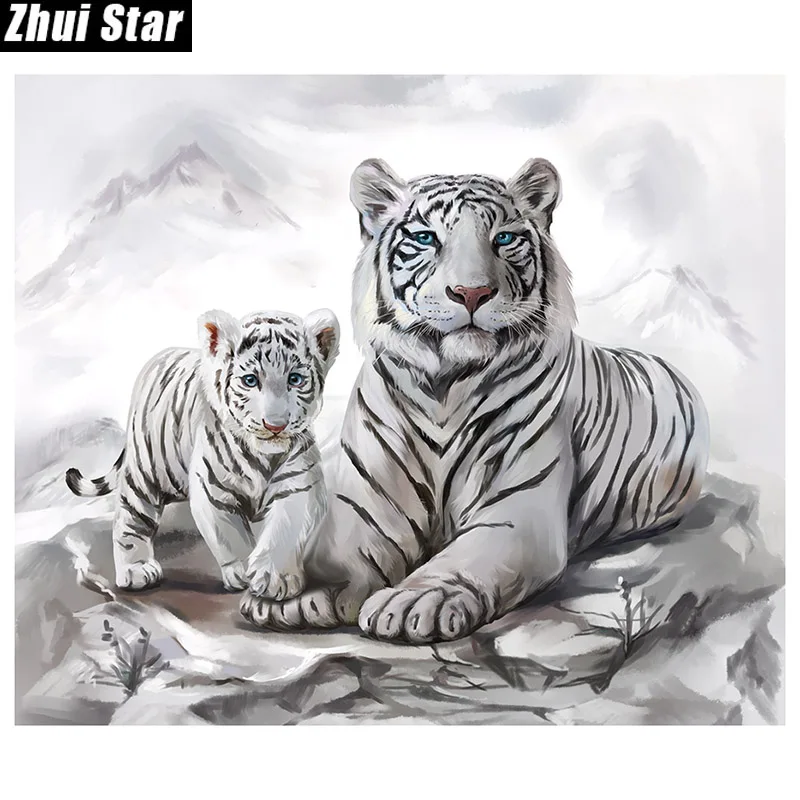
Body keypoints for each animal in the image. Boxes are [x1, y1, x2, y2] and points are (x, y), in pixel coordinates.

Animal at [66, 307, 340, 600]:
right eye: (250, 381)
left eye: (295, 380)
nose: (275, 426)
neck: (263, 456)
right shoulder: (213, 490)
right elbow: (231, 535)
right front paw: (242, 572)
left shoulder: (300, 485)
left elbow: (285, 531)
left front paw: (275, 578)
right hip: (145, 472)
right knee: (130, 518)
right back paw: (136, 570)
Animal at [236, 157, 710, 645]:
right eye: (426, 238)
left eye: (503, 238)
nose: (471, 293)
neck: (444, 386)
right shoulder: (367, 502)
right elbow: (341, 547)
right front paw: (300, 590)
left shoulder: (516, 510)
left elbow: (463, 559)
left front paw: (415, 601)